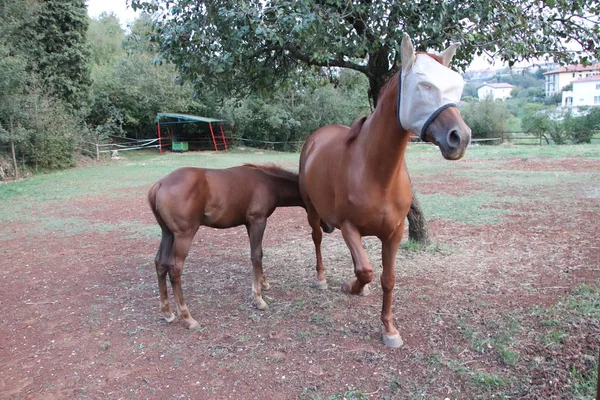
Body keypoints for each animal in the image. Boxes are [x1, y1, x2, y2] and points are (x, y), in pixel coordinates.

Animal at [147, 164, 330, 330]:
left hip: (168, 233)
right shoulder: (258, 220)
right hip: (184, 235)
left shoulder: (250, 224)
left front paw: (263, 283)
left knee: (160, 263)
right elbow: (256, 255)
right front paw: (258, 299)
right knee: (175, 269)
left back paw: (168, 313)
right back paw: (188, 318)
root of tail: (159, 185)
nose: (329, 227)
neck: (269, 182)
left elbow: (258, 253)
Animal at [300, 34, 474, 346]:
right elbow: (366, 271)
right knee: (317, 239)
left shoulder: (394, 232)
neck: (375, 172)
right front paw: (350, 287)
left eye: (456, 86)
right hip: (311, 210)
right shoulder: (348, 226)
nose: (460, 137)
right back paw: (320, 279)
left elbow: (386, 279)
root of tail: (316, 138)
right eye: (423, 86)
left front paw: (389, 329)